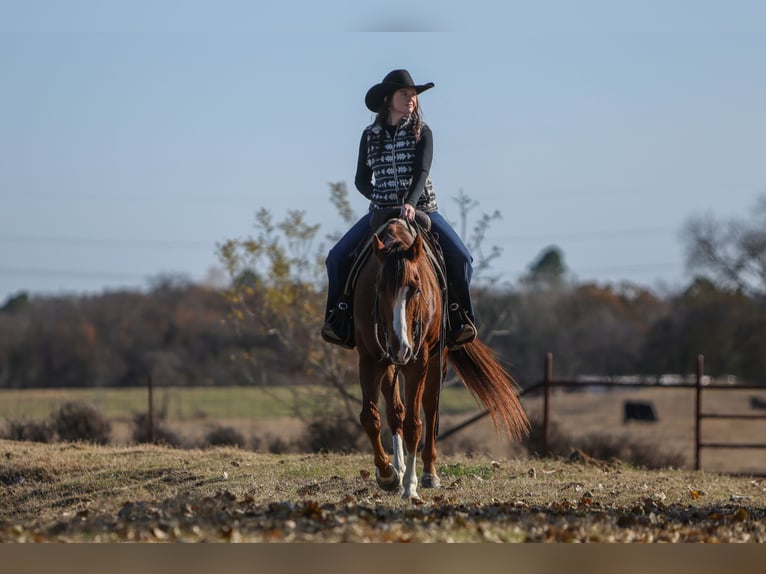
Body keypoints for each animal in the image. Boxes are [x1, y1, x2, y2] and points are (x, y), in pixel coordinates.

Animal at [353, 214, 530, 501]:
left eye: (415, 288)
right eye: (379, 288)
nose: (400, 345)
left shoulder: (419, 360)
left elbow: (415, 424)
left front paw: (410, 487)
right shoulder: (370, 358)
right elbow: (371, 417)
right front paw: (388, 474)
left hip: (436, 360)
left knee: (430, 408)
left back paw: (428, 474)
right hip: (391, 362)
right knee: (395, 410)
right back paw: (399, 468)